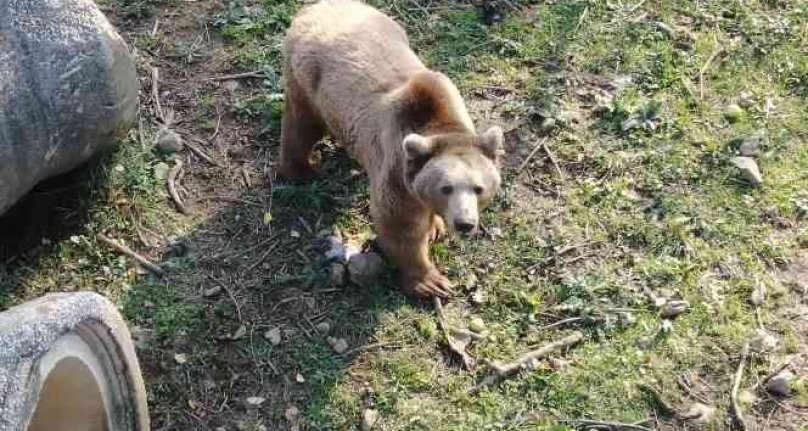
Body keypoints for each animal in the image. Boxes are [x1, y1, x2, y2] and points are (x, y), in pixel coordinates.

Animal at [280, 0, 502, 298]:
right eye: (446, 187)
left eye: (479, 188)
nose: (464, 223)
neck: (438, 120)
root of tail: (312, 8)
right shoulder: (395, 167)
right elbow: (398, 225)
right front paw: (430, 281)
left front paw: (435, 227)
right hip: (308, 80)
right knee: (301, 125)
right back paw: (301, 170)